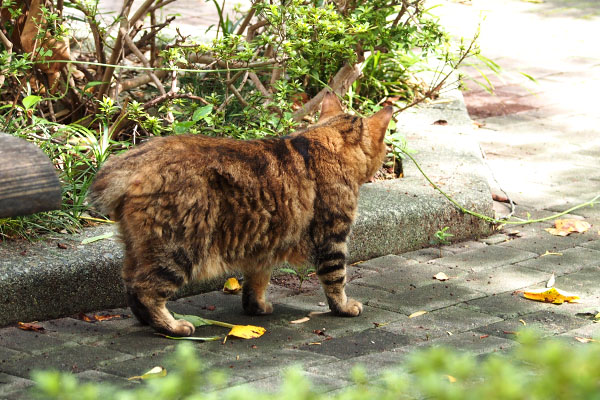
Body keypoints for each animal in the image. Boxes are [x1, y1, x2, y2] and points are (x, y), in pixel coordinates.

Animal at [89, 94, 394, 334]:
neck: (319, 142)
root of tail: (129, 161)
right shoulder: (332, 237)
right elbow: (336, 279)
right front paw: (343, 307)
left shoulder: (265, 244)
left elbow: (256, 282)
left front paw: (255, 307)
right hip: (178, 247)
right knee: (146, 290)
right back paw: (172, 326)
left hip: (138, 247)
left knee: (130, 284)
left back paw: (147, 320)